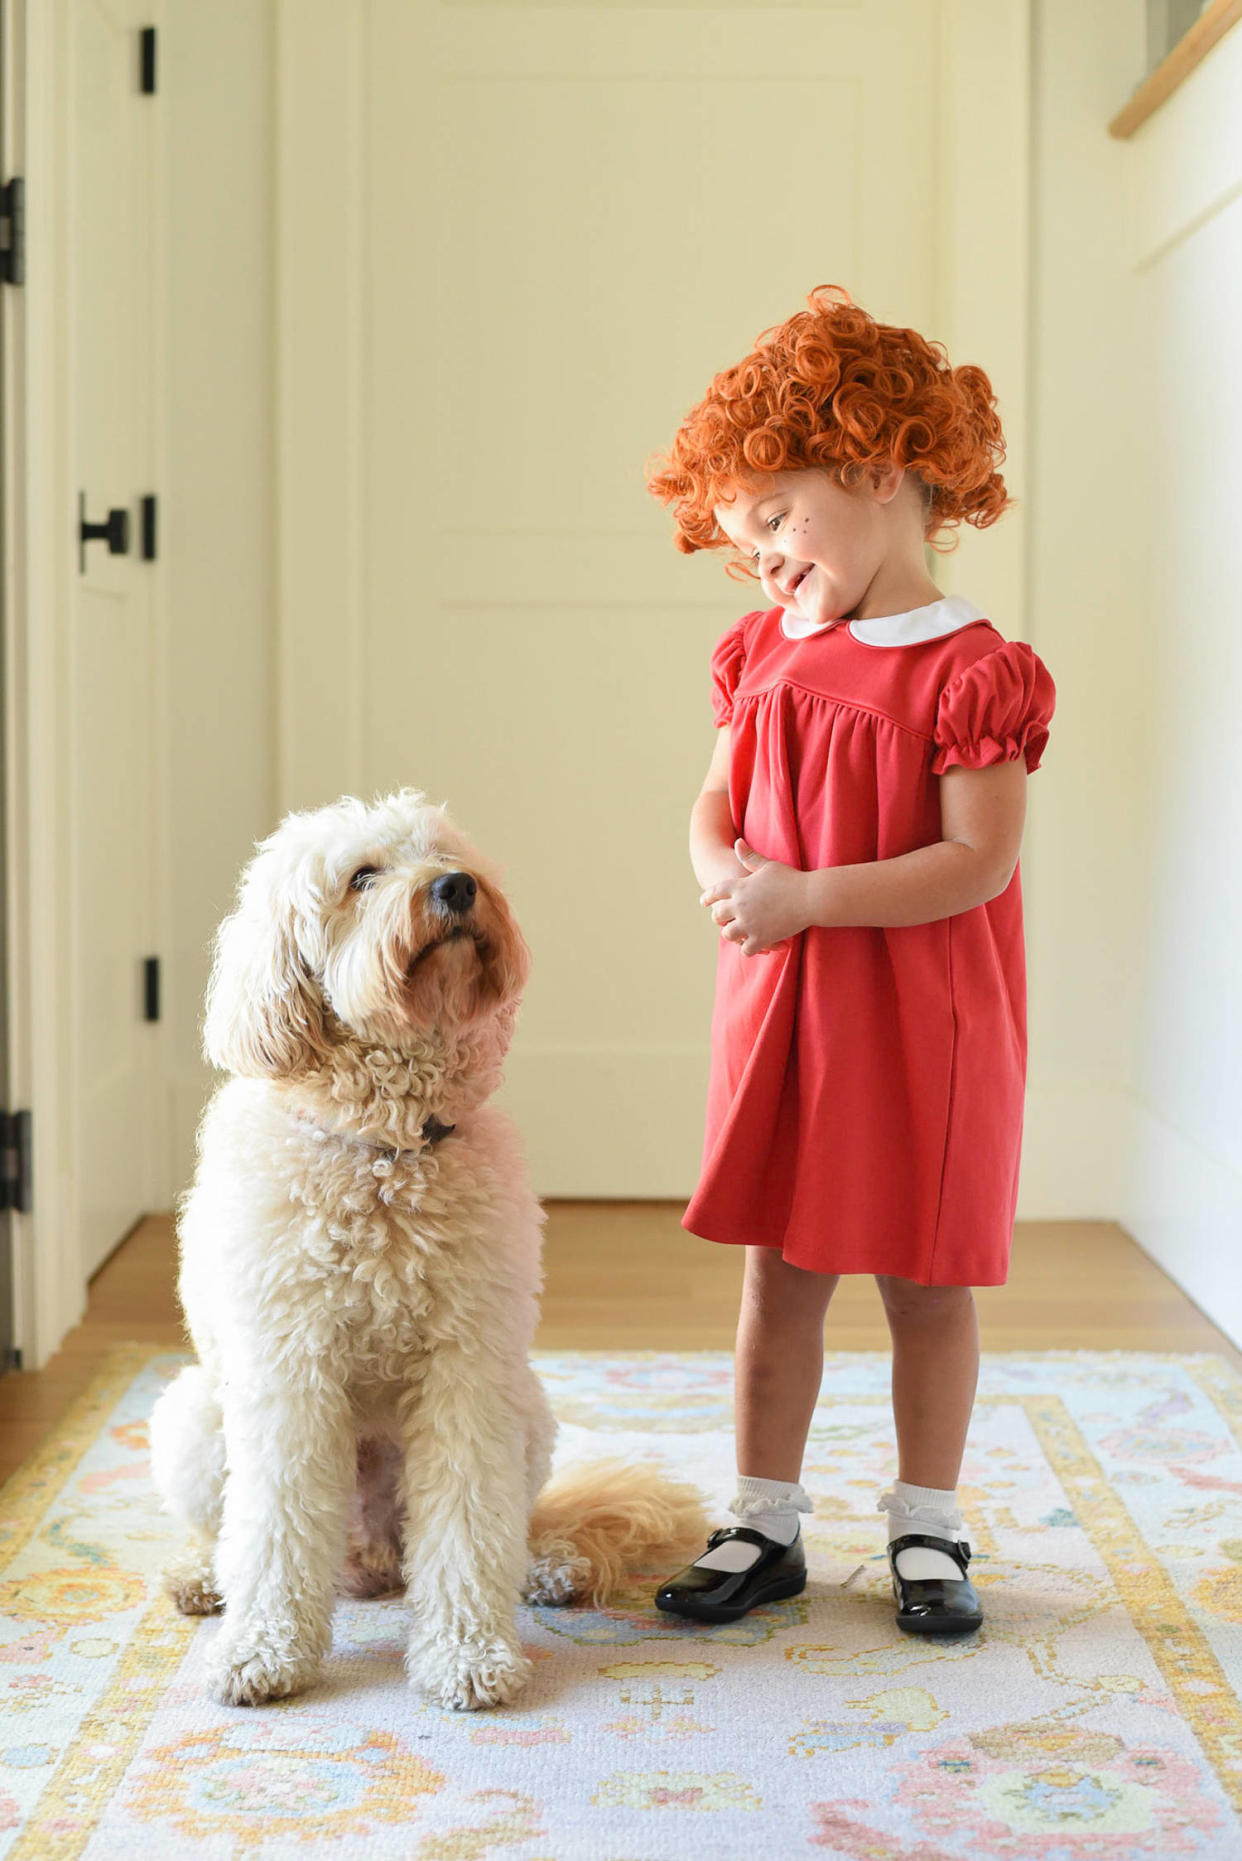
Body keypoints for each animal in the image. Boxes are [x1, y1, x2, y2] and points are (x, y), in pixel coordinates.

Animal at [150, 792, 703, 1704]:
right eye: (361, 876)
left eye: (450, 856)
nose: (455, 887)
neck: (388, 1145)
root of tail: (370, 1558)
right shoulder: (291, 1375)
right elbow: (274, 1527)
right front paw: (263, 1651)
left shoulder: (467, 1371)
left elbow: (469, 1526)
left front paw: (468, 1654)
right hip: (198, 1414)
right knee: (233, 1532)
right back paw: (202, 1579)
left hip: (526, 1408)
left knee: (496, 1528)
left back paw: (544, 1566)